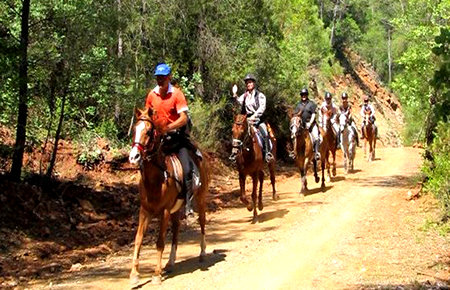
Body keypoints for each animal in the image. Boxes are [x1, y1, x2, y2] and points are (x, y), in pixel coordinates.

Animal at [127, 107, 210, 286]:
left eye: (149, 131)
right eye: (135, 130)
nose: (134, 157)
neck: (156, 179)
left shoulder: (164, 211)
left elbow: (159, 242)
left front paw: (156, 275)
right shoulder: (144, 211)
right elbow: (138, 239)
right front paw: (134, 275)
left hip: (200, 199)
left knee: (202, 222)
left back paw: (202, 253)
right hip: (176, 209)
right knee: (177, 229)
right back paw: (170, 262)